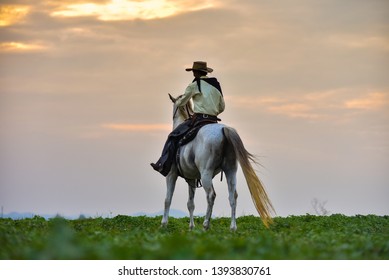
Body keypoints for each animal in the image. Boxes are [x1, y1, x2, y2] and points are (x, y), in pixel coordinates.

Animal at [160, 94, 272, 230]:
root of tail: (224, 129)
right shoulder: (191, 178)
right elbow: (190, 203)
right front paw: (191, 227)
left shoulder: (171, 174)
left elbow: (167, 199)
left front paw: (164, 224)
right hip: (230, 170)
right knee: (233, 195)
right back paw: (232, 227)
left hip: (206, 174)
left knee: (211, 195)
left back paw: (206, 225)